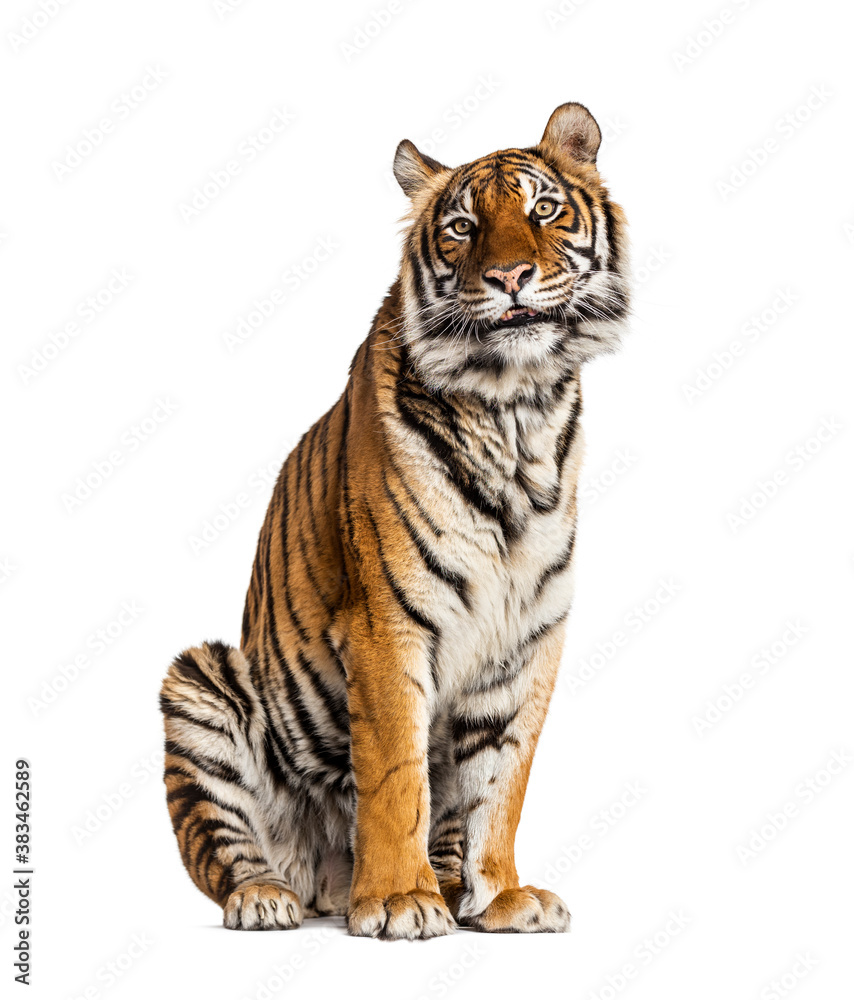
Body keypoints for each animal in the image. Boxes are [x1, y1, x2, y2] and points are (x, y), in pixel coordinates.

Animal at [160, 101, 630, 939]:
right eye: (463, 228)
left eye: (543, 210)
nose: (510, 276)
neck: (517, 410)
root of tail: (319, 880)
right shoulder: (386, 625)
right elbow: (393, 774)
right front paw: (398, 901)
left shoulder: (527, 641)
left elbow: (500, 785)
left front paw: (502, 895)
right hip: (201, 680)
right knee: (221, 849)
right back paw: (269, 898)